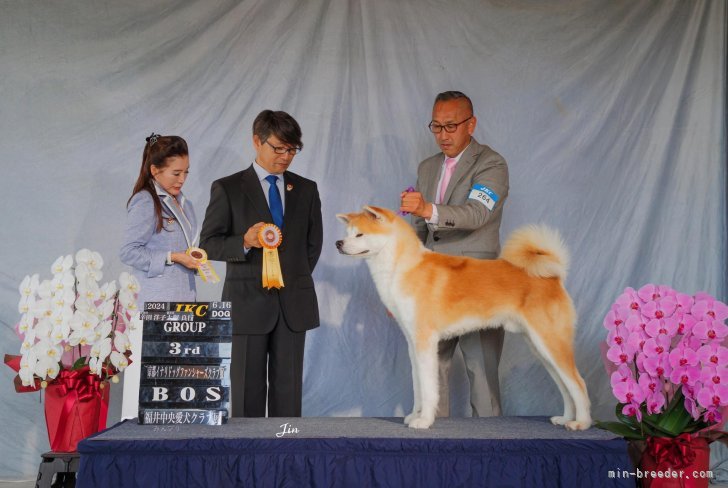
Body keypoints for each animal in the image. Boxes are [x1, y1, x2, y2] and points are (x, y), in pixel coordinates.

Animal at [336, 208, 592, 428]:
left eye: (360, 234)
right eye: (347, 233)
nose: (338, 243)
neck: (402, 268)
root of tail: (553, 277)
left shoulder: (426, 342)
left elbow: (428, 388)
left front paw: (424, 421)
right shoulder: (413, 344)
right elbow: (417, 386)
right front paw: (413, 416)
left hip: (551, 342)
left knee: (578, 383)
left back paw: (581, 423)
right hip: (540, 348)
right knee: (565, 386)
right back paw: (565, 418)